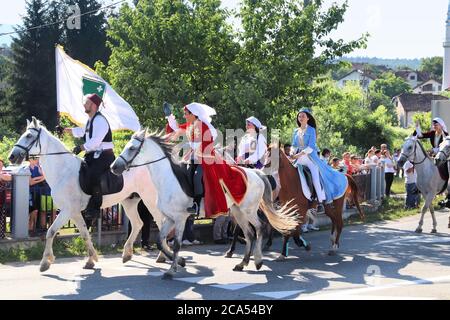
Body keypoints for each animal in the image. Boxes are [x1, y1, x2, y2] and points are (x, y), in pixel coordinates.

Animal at [7, 117, 165, 272]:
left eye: (28, 136)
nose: (12, 156)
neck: (63, 171)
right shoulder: (75, 212)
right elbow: (84, 234)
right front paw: (91, 259)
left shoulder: (67, 211)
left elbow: (50, 232)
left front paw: (45, 262)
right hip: (129, 202)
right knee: (138, 223)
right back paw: (127, 254)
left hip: (150, 200)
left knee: (160, 222)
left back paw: (162, 256)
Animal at [110, 129, 298, 278]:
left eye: (132, 148)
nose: (114, 167)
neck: (168, 179)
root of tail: (258, 173)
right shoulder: (169, 218)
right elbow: (160, 241)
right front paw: (180, 261)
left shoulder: (180, 218)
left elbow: (176, 244)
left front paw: (172, 270)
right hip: (238, 212)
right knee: (250, 234)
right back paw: (242, 263)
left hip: (249, 210)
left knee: (259, 228)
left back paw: (258, 260)